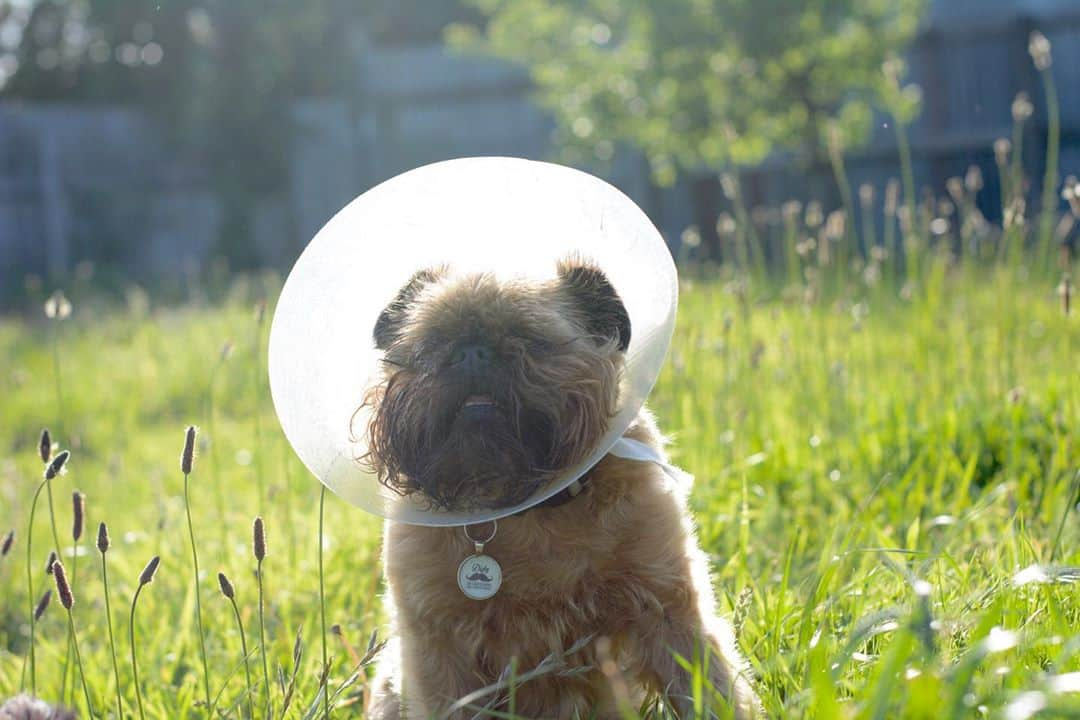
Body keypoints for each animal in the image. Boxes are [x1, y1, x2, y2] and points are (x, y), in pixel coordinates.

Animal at [362, 255, 760, 716]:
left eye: (530, 339)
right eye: (430, 346)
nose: (471, 353)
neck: (523, 506)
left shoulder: (669, 610)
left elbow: (709, 688)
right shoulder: (438, 651)